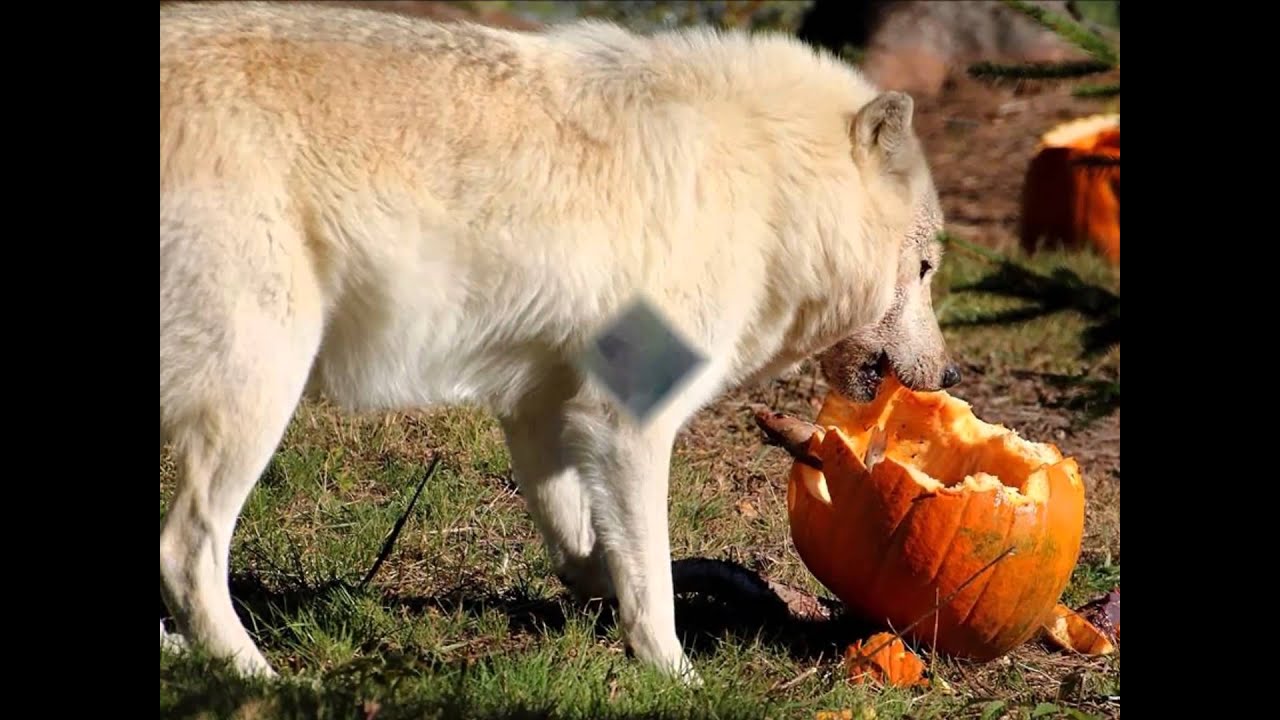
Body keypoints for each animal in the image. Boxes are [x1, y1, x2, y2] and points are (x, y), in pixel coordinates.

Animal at [159, 0, 961, 685]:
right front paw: (675, 675)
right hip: (262, 387)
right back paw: (257, 676)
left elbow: (585, 553)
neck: (771, 181)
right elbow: (651, 576)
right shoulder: (630, 421)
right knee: (184, 549)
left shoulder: (539, 406)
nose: (952, 373)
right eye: (924, 268)